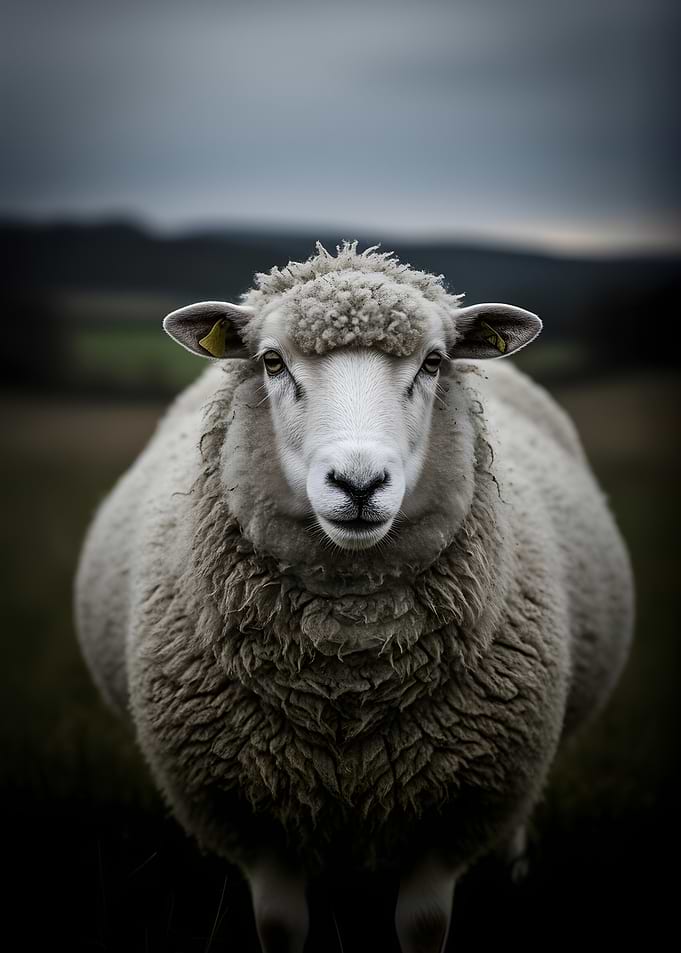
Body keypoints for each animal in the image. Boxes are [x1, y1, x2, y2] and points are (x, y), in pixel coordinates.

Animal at [75, 240, 634, 953]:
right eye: (272, 361)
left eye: (433, 362)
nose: (359, 483)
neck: (347, 670)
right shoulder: (253, 819)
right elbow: (280, 926)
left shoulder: (456, 813)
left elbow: (422, 925)